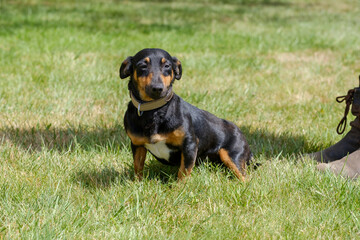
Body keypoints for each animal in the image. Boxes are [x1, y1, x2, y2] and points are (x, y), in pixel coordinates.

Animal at [119, 47, 252, 181]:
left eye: (167, 66)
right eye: (142, 66)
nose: (157, 88)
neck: (154, 111)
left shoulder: (190, 144)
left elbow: (183, 171)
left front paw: (179, 186)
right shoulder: (137, 144)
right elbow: (138, 166)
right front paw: (138, 183)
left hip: (232, 156)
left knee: (244, 178)